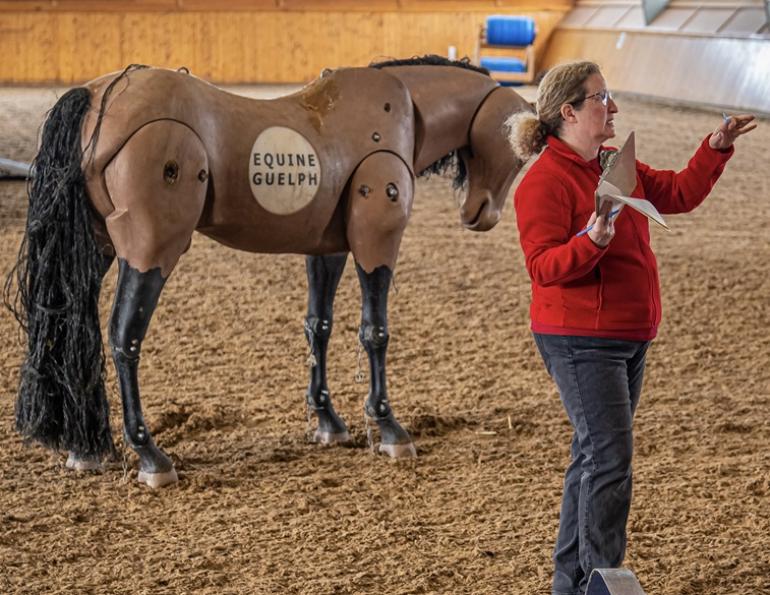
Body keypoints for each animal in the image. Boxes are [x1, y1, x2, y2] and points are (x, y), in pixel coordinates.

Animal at [5, 56, 530, 488]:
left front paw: (329, 423)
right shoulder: (375, 243)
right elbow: (375, 331)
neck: (402, 112)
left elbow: (318, 326)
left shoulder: (327, 249)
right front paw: (388, 428)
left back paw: (85, 450)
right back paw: (151, 457)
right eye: (518, 144)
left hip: (93, 250)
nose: (481, 215)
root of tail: (100, 96)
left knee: (72, 327)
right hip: (150, 249)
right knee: (123, 338)